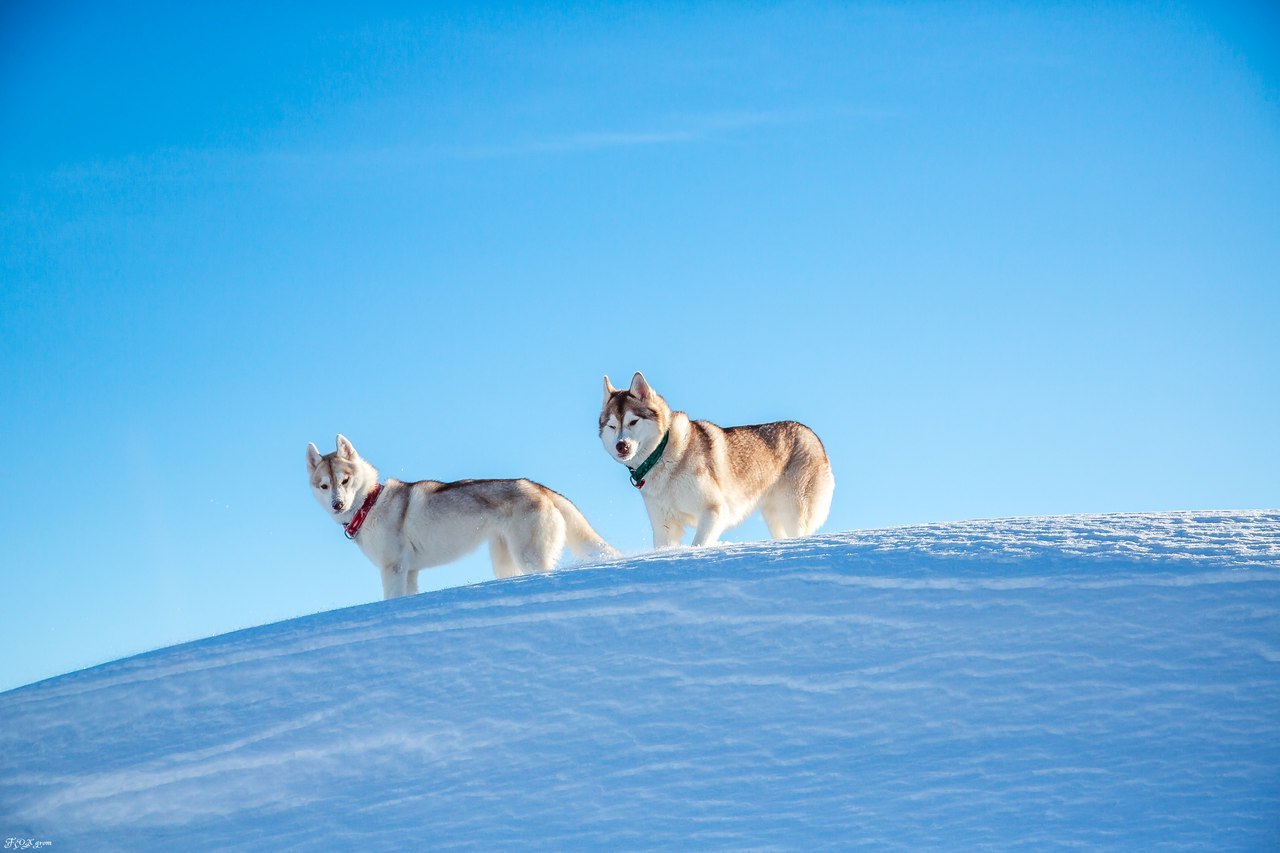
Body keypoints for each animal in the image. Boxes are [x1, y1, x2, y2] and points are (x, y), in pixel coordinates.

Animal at [304, 435, 614, 594]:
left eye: (345, 481)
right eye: (324, 485)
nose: (337, 504)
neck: (370, 504)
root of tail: (538, 487)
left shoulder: (393, 569)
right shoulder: (410, 572)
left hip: (530, 556)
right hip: (504, 562)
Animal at [601, 376, 834, 548]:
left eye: (633, 421)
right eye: (612, 426)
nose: (621, 446)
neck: (661, 455)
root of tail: (811, 434)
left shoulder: (714, 511)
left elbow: (698, 544)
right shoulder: (664, 526)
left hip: (793, 511)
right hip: (773, 515)